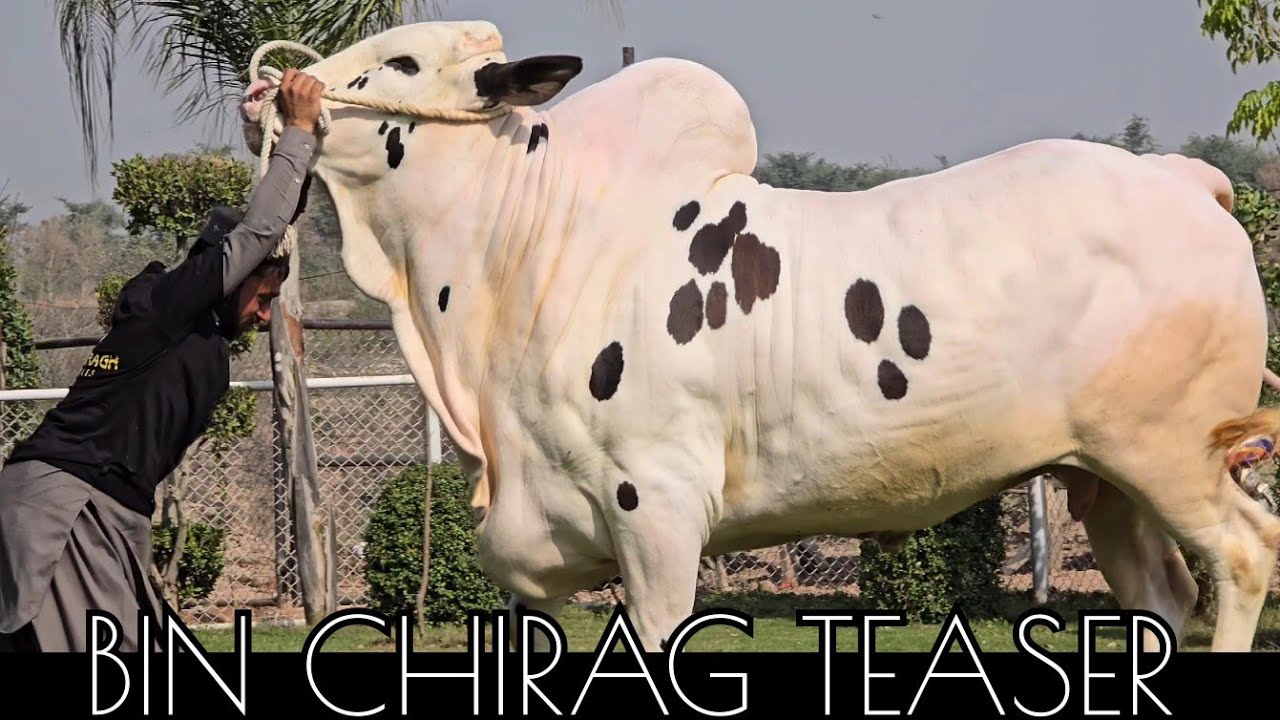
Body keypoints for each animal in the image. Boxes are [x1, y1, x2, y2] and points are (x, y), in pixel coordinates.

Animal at [240, 20, 1280, 653]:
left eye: (401, 65)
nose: (271, 89)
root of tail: (1182, 178)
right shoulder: (535, 544)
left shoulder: (655, 508)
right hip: (1105, 482)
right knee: (1164, 597)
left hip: (1173, 453)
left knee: (1242, 555)